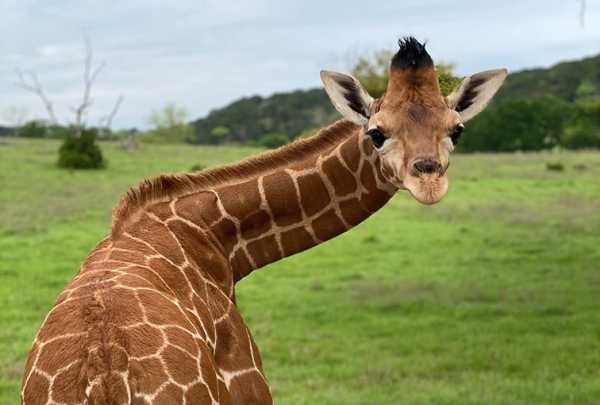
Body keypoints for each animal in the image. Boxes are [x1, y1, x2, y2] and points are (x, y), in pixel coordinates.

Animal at [19, 38, 506, 404]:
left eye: (456, 129)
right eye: (376, 132)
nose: (429, 181)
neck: (218, 240)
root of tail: (103, 384)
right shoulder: (250, 383)